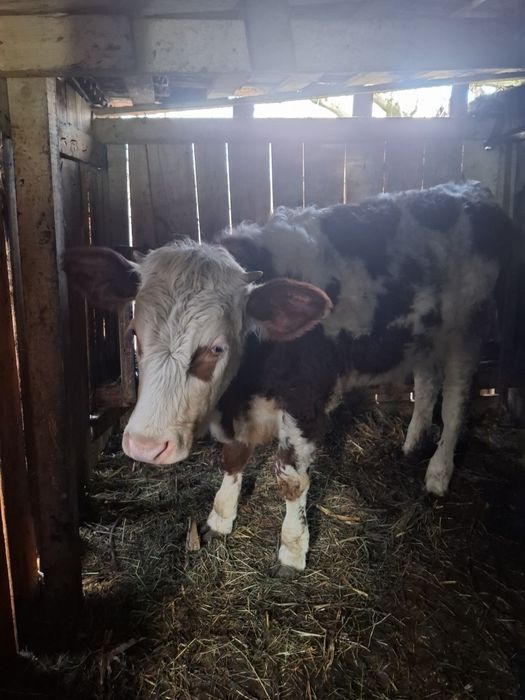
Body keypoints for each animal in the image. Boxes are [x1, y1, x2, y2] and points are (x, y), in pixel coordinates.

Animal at [64, 181, 512, 577]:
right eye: (134, 334)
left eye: (216, 347)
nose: (145, 446)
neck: (244, 386)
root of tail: (470, 189)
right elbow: (232, 457)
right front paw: (220, 517)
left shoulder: (305, 402)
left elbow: (291, 480)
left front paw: (292, 551)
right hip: (424, 337)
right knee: (428, 382)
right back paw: (412, 442)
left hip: (468, 331)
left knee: (455, 404)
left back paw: (437, 473)